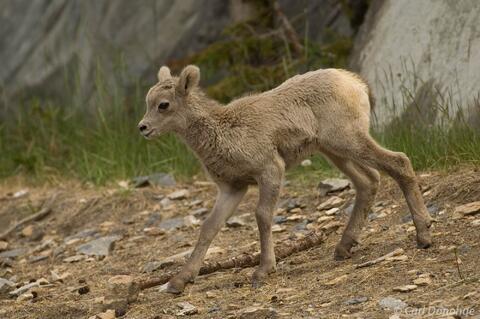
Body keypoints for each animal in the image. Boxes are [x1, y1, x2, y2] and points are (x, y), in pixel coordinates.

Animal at [137, 65, 434, 296]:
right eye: (148, 101)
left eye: (163, 104)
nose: (143, 128)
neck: (223, 132)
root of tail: (356, 83)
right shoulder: (233, 187)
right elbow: (209, 227)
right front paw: (177, 283)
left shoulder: (270, 170)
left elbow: (262, 216)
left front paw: (262, 271)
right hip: (334, 151)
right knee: (369, 181)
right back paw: (343, 247)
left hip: (348, 140)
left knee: (399, 162)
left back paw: (424, 235)